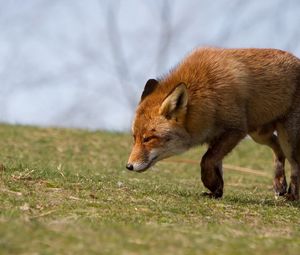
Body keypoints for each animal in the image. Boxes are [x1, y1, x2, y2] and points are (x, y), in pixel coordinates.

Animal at [125, 46, 300, 200]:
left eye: (148, 139)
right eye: (135, 138)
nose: (129, 166)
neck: (208, 93)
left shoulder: (235, 130)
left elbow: (206, 160)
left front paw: (210, 183)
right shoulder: (215, 137)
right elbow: (216, 165)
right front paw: (216, 191)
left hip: (287, 138)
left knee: (295, 164)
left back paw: (292, 196)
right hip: (259, 134)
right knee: (277, 148)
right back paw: (279, 183)